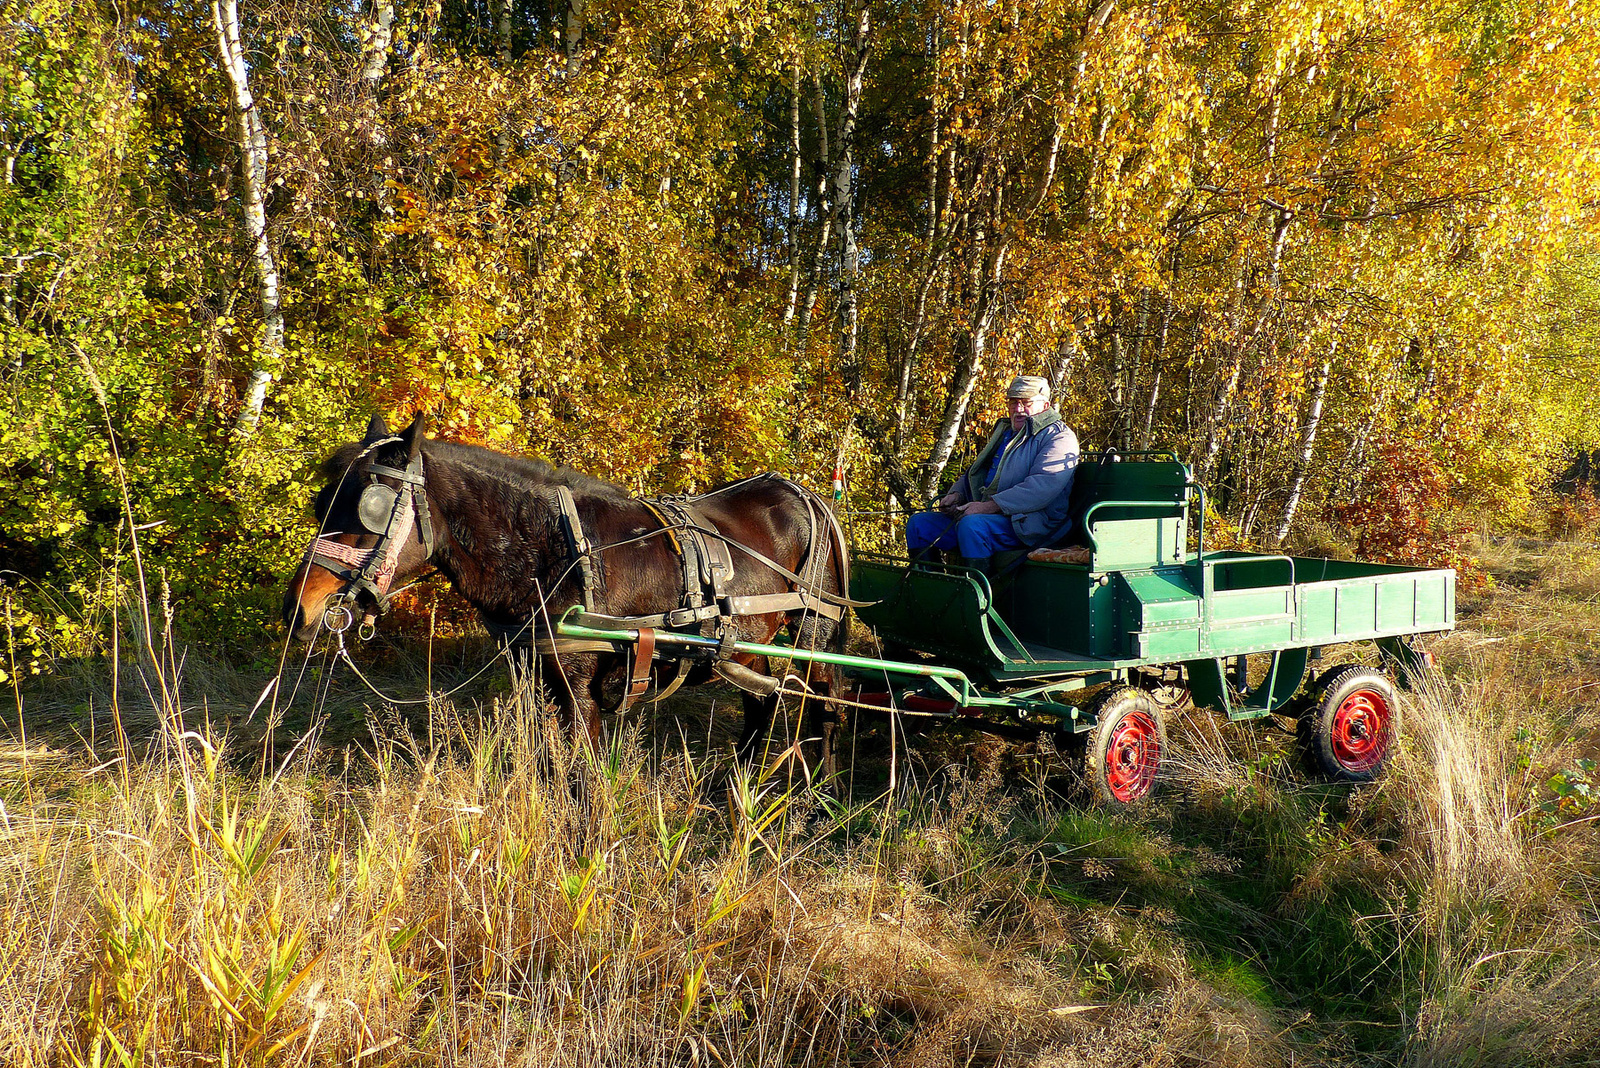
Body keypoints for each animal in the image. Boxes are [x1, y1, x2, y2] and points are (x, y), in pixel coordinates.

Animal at [281, 412, 857, 777]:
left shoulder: (580, 688)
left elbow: (582, 776)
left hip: (815, 631)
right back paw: (741, 789)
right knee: (763, 703)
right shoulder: (536, 680)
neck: (550, 552)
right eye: (322, 502)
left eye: (369, 510)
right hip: (751, 644)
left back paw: (820, 793)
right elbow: (549, 769)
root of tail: (804, 493)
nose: (298, 608)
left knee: (827, 703)